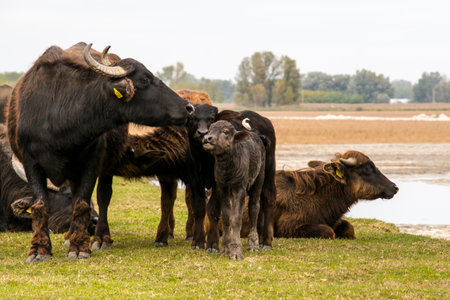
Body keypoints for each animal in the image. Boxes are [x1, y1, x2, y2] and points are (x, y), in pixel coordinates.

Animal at [6, 42, 193, 262]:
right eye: (145, 79)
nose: (189, 108)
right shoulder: (31, 163)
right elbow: (41, 206)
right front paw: (39, 250)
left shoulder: (92, 162)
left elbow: (83, 203)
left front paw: (80, 247)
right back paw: (70, 235)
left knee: (103, 196)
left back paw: (100, 237)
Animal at [202, 120, 266, 258]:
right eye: (210, 129)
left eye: (225, 131)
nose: (207, 138)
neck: (228, 167)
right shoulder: (222, 187)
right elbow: (226, 216)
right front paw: (226, 248)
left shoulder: (239, 188)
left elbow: (236, 218)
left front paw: (236, 251)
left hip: (259, 178)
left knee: (254, 207)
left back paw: (254, 245)